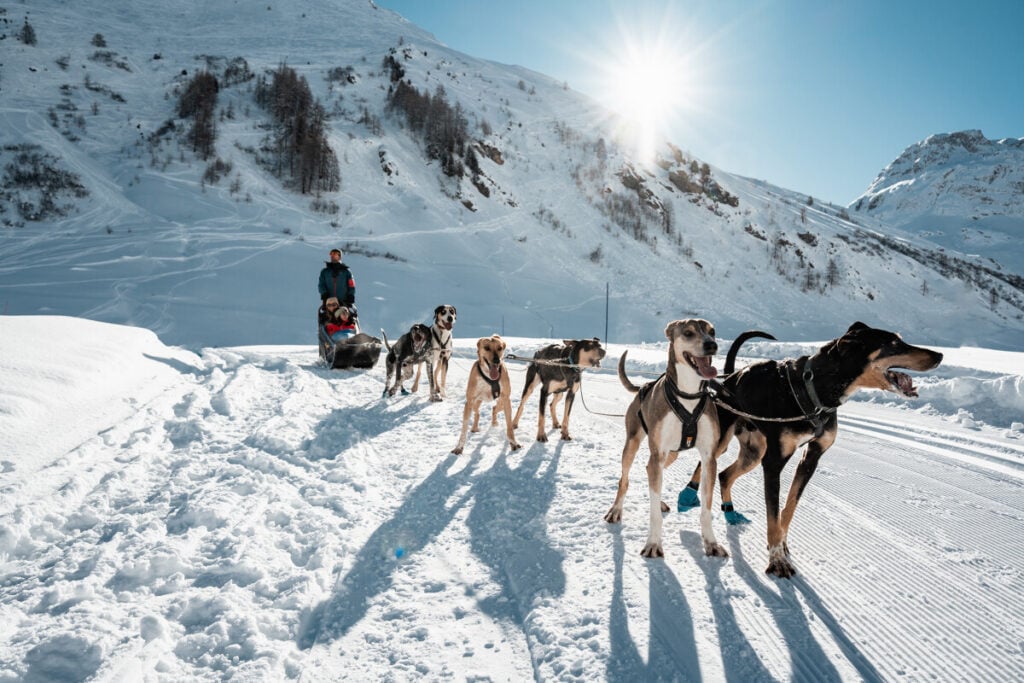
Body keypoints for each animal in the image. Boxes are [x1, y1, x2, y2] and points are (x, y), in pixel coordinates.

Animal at [602, 321, 724, 561]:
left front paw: (711, 543)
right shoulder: (657, 453)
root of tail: (643, 387)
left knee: (649, 471)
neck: (687, 395)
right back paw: (616, 510)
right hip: (633, 445)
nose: (711, 345)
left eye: (712, 332)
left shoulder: (709, 458)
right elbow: (653, 514)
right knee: (625, 479)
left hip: (670, 454)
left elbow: (706, 508)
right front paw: (653, 544)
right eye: (688, 333)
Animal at [679, 323, 942, 581]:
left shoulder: (812, 458)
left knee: (724, 475)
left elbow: (789, 507)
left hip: (754, 452)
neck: (813, 388)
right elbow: (773, 516)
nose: (939, 355)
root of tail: (730, 378)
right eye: (894, 343)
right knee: (707, 463)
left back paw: (730, 512)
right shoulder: (773, 462)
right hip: (723, 439)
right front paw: (777, 561)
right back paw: (688, 494)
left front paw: (781, 545)